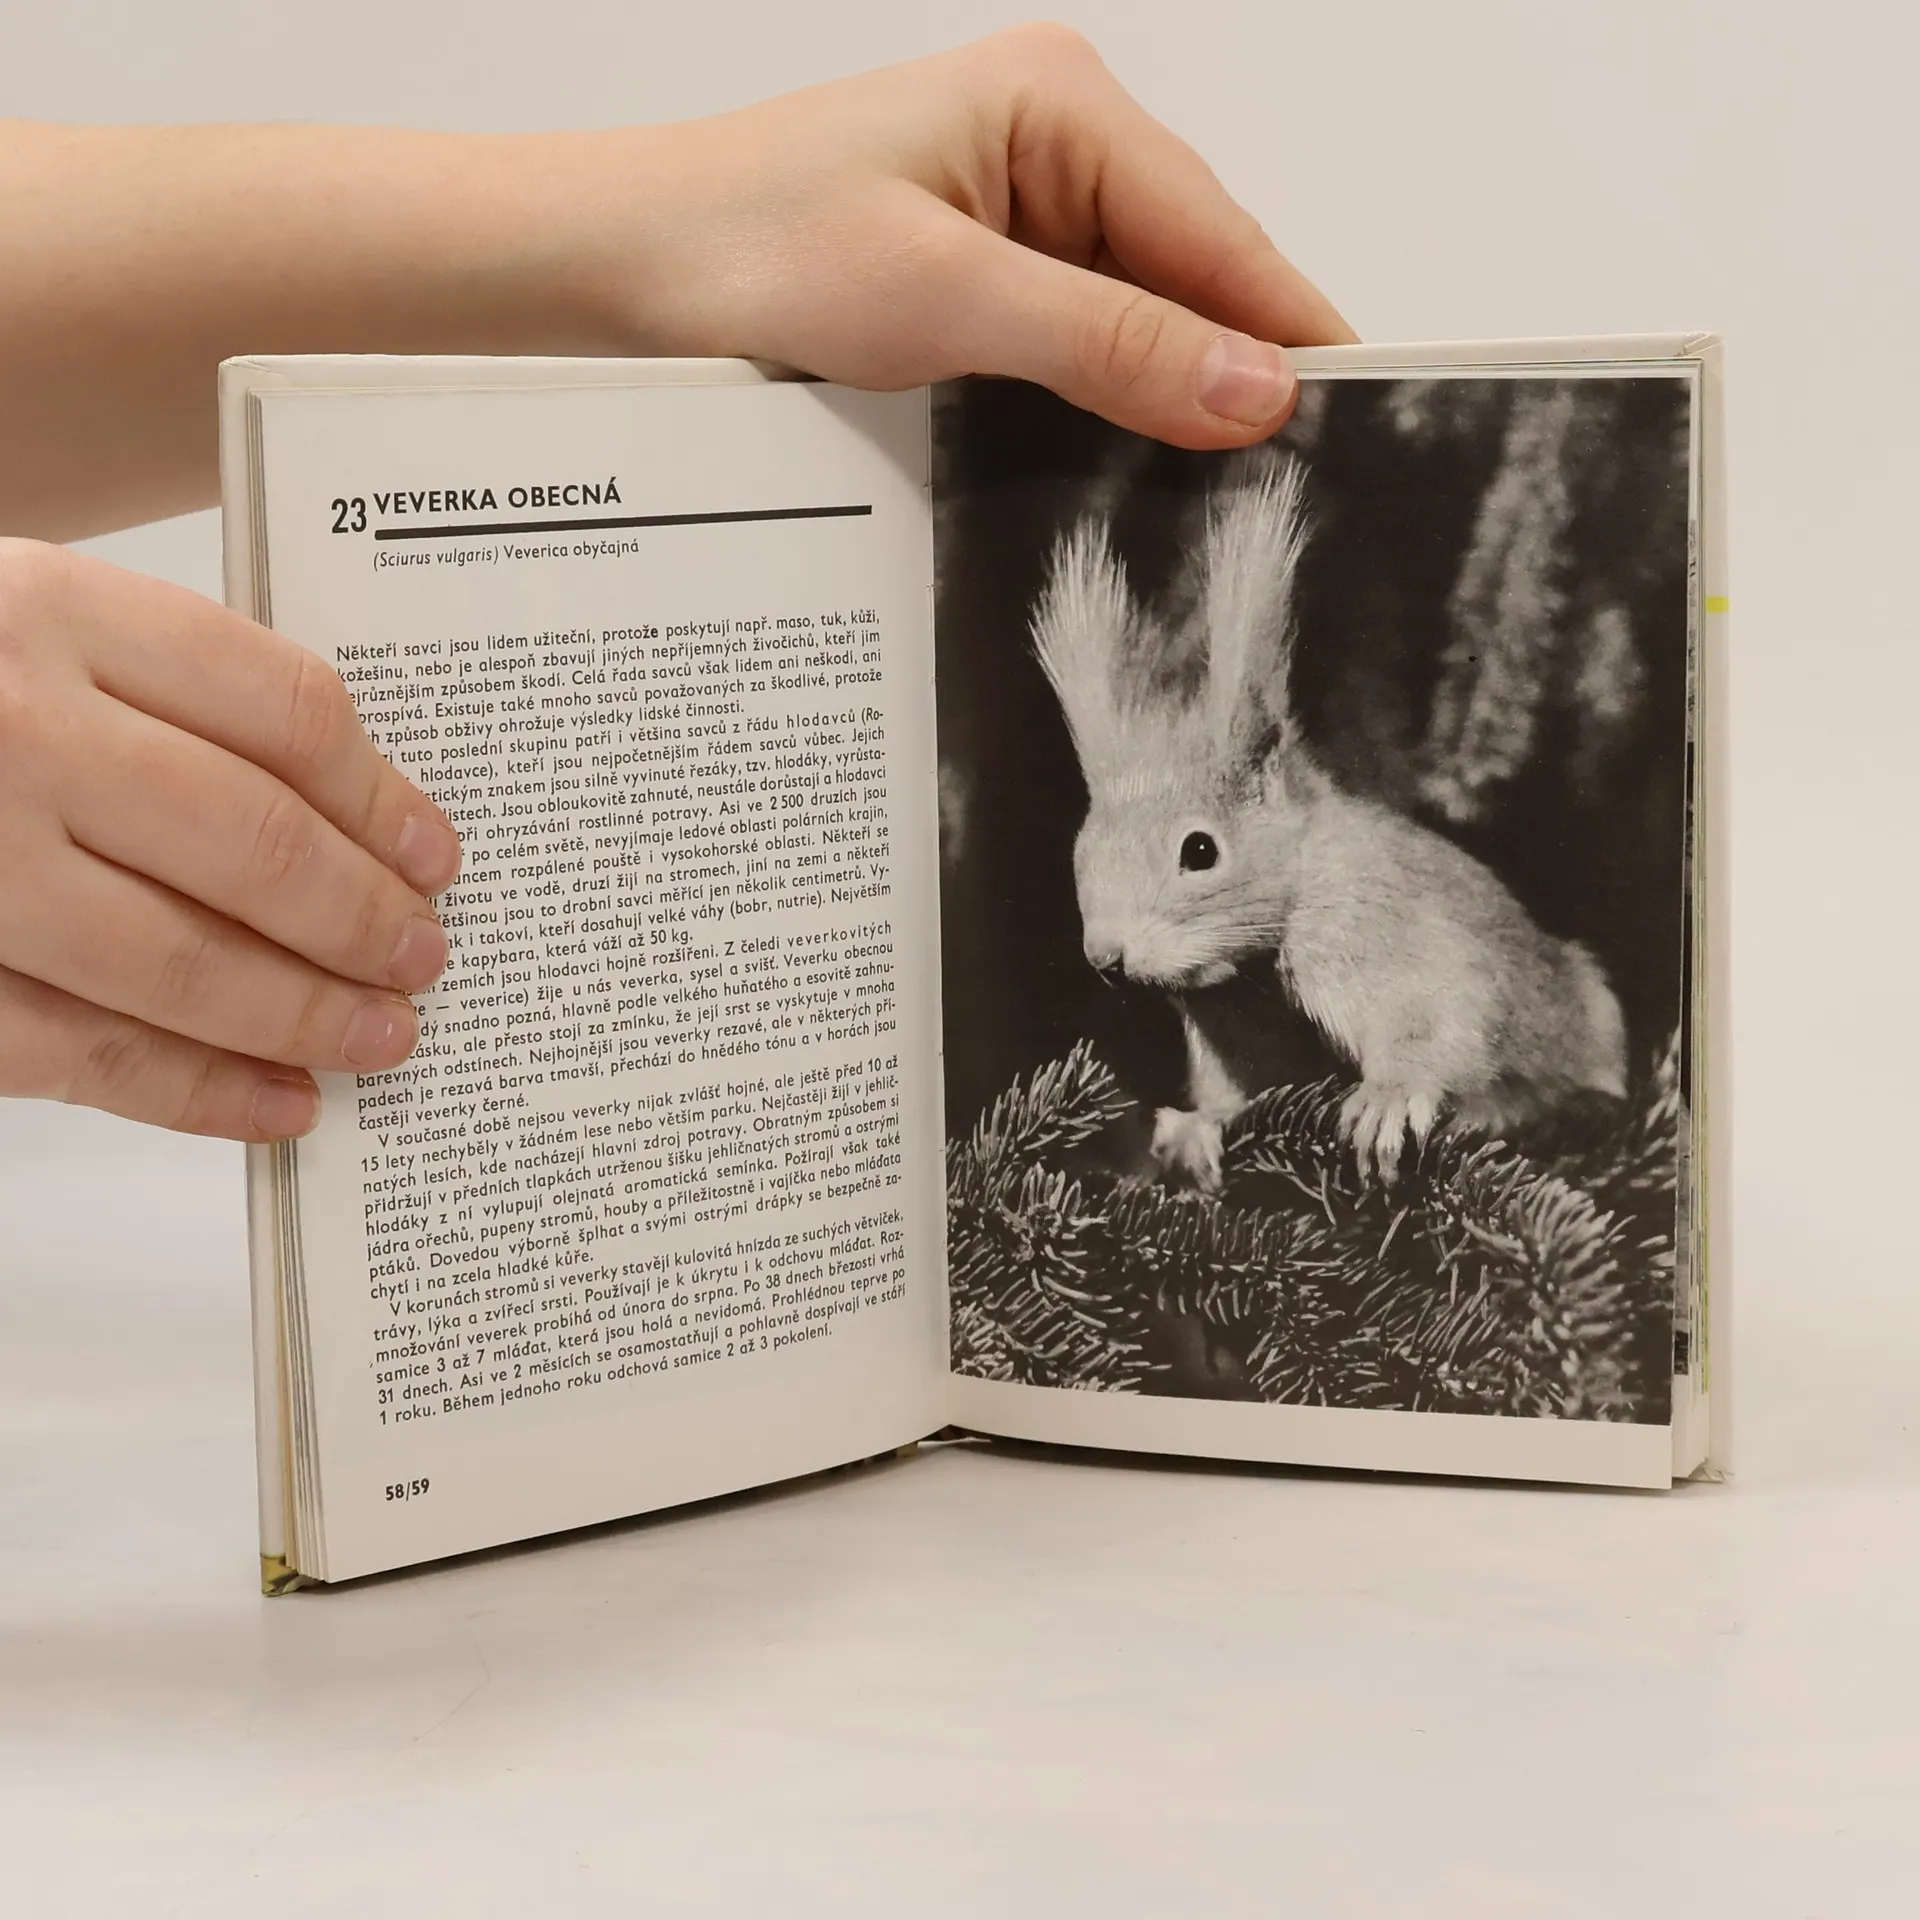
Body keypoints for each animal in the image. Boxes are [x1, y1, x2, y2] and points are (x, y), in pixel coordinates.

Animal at [1028, 451, 1628, 1188]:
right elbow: (1240, 1099)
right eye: (1082, 853)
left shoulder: (1384, 931)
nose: (1105, 957)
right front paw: (1197, 1133)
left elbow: (1443, 1023)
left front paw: (1388, 1098)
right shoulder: (1239, 1035)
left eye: (1199, 851)